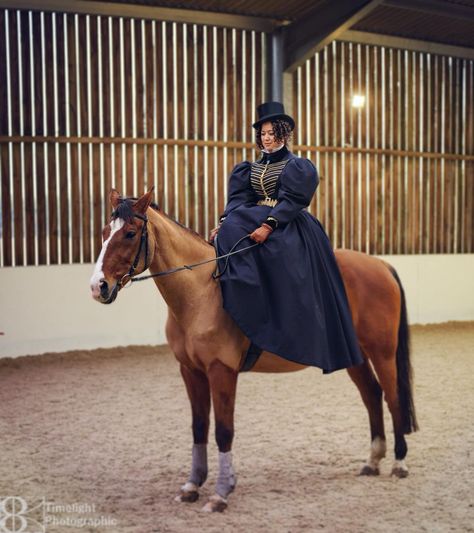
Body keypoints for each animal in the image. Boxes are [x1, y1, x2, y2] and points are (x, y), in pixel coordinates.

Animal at [90, 190, 418, 512]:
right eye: (105, 232)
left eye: (130, 233)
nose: (98, 286)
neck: (201, 293)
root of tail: (381, 265)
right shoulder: (191, 371)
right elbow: (199, 427)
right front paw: (192, 486)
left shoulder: (222, 371)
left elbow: (224, 431)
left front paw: (221, 494)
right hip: (354, 355)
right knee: (372, 395)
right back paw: (373, 461)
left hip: (382, 353)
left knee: (392, 398)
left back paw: (399, 463)